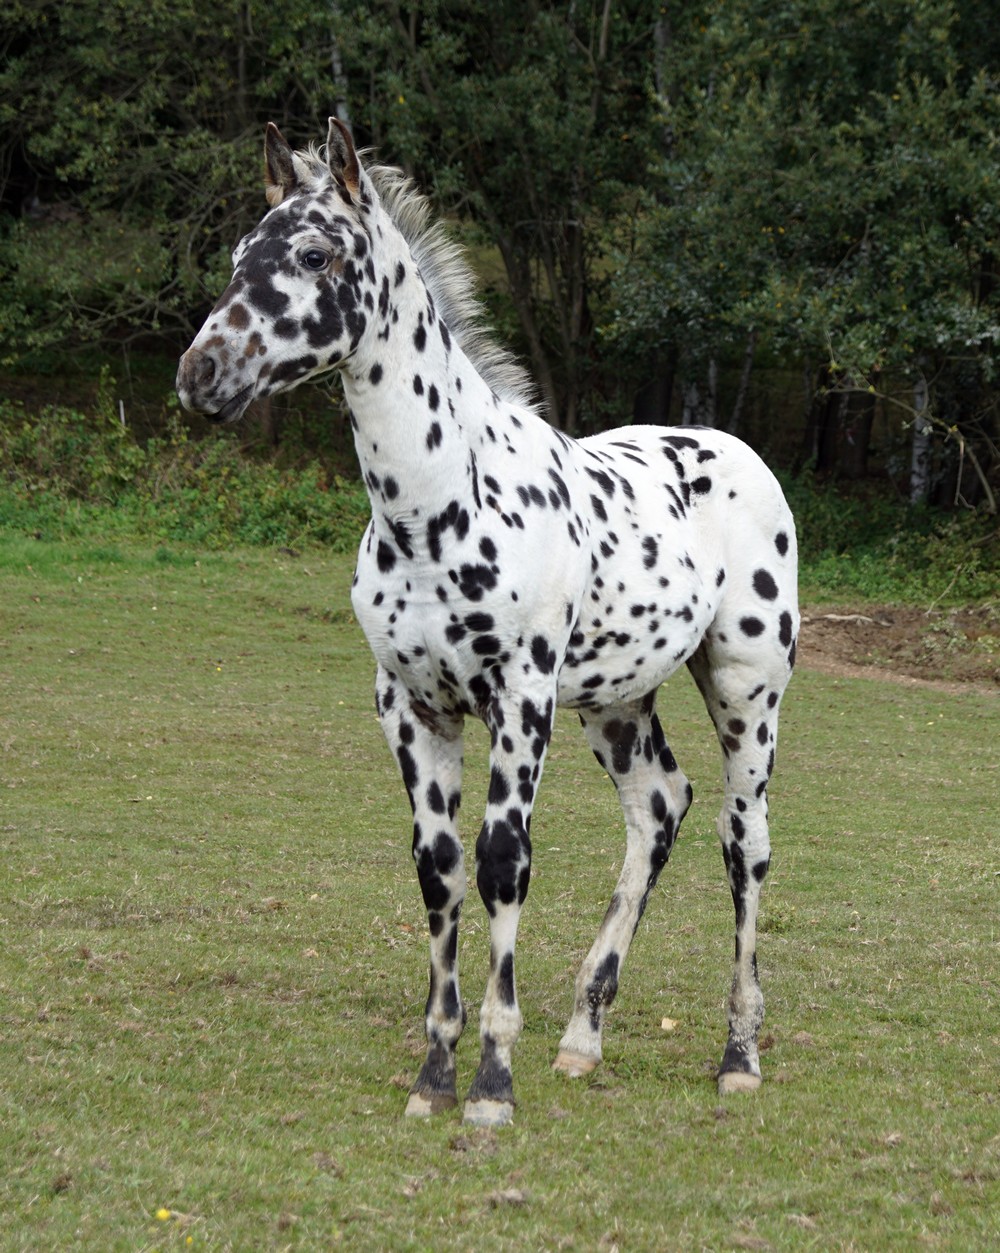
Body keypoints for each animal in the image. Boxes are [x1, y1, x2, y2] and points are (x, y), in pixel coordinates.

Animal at [177, 122, 796, 1132]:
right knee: (658, 807)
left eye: (314, 255)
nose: (201, 376)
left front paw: (493, 1082)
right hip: (616, 702)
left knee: (745, 844)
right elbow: (439, 866)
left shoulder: (520, 698)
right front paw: (436, 1070)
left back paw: (737, 1055)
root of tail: (742, 455)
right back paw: (583, 1037)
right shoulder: (410, 706)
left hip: (747, 690)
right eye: (238, 255)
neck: (438, 505)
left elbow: (505, 860)